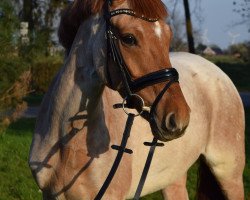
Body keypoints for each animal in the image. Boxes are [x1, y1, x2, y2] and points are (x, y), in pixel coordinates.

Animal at [28, 0, 245, 199]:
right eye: (129, 38)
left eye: (167, 37)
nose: (179, 117)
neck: (66, 144)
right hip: (173, 177)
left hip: (229, 174)